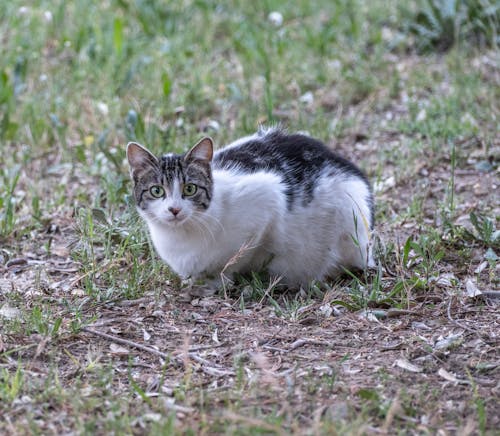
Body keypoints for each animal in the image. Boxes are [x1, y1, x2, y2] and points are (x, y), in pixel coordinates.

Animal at [127, 127, 374, 290]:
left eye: (189, 189)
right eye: (157, 191)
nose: (174, 210)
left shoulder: (267, 199)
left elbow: (237, 258)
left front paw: (217, 282)